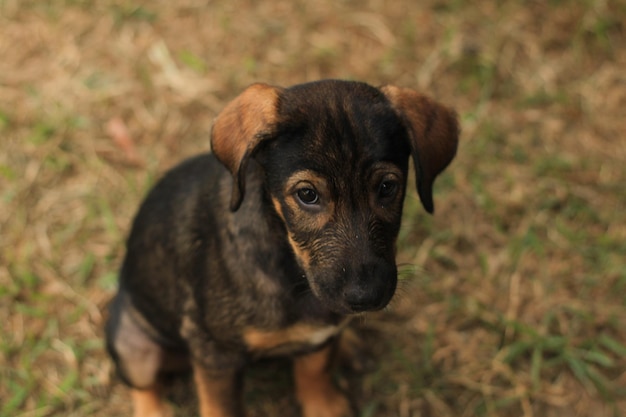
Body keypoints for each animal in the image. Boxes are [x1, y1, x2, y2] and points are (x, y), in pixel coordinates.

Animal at [105, 79, 458, 416]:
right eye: (307, 195)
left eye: (387, 187)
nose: (366, 297)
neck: (292, 268)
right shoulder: (215, 351)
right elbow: (223, 408)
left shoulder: (320, 335)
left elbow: (315, 370)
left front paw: (323, 406)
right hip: (133, 345)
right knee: (143, 385)